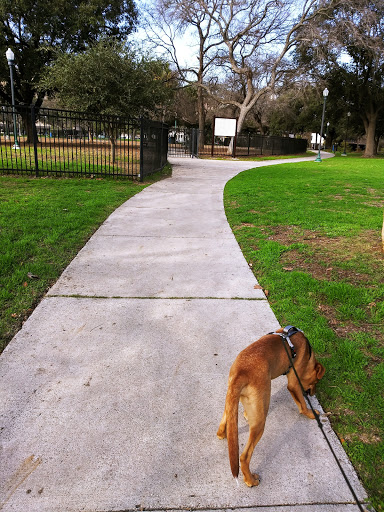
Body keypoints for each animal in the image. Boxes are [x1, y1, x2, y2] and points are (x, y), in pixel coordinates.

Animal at [216, 326, 324, 486]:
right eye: (316, 381)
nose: (312, 393)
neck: (308, 354)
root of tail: (241, 372)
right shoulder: (293, 384)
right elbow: (303, 405)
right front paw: (311, 414)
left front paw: (246, 415)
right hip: (260, 422)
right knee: (244, 456)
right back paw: (250, 480)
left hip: (231, 398)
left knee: (224, 420)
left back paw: (222, 433)